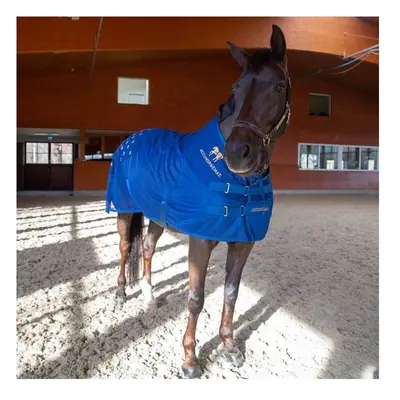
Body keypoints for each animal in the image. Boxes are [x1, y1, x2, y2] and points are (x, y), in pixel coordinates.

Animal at [105, 25, 290, 378]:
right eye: (236, 87)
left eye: (278, 86)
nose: (237, 153)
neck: (240, 183)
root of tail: (128, 141)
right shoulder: (200, 241)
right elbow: (196, 298)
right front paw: (190, 359)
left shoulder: (243, 243)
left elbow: (231, 293)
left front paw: (230, 346)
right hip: (124, 209)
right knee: (124, 248)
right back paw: (121, 292)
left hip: (158, 217)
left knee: (146, 248)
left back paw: (150, 297)